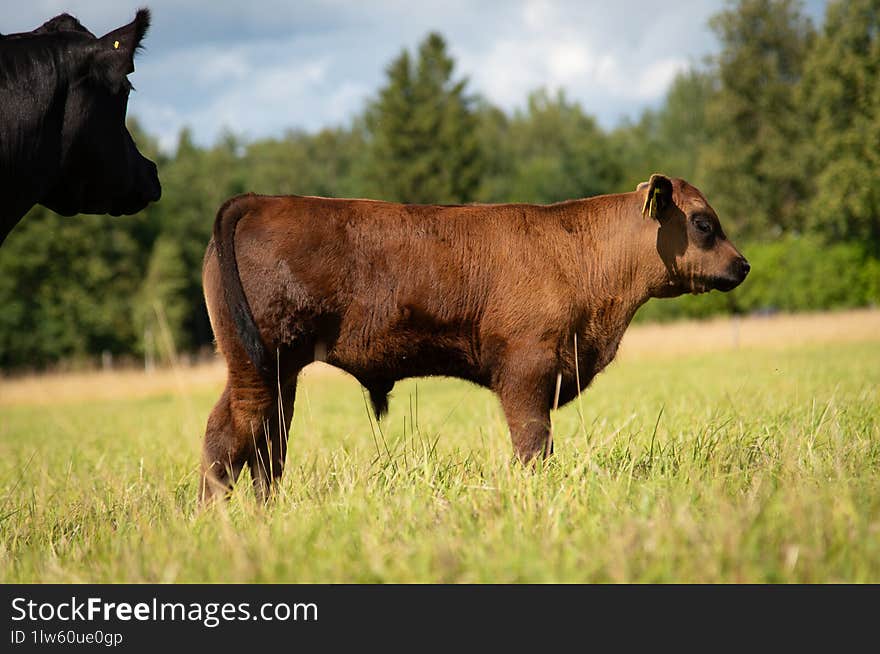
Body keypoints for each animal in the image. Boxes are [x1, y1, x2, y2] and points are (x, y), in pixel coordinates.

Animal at [199, 174, 748, 502]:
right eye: (703, 223)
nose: (742, 265)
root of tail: (260, 201)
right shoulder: (527, 373)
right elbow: (533, 446)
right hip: (256, 367)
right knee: (230, 433)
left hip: (278, 372)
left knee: (268, 443)